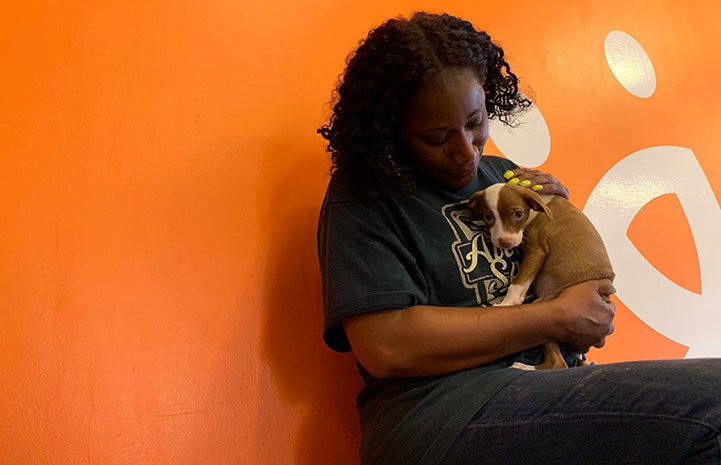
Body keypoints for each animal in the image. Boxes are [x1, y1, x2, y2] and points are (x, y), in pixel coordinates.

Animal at [466, 181, 612, 370]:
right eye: (488, 217)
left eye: (518, 214)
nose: (505, 242)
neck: (538, 207)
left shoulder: (537, 250)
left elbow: (518, 282)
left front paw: (506, 304)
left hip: (546, 312)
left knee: (559, 364)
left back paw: (523, 367)